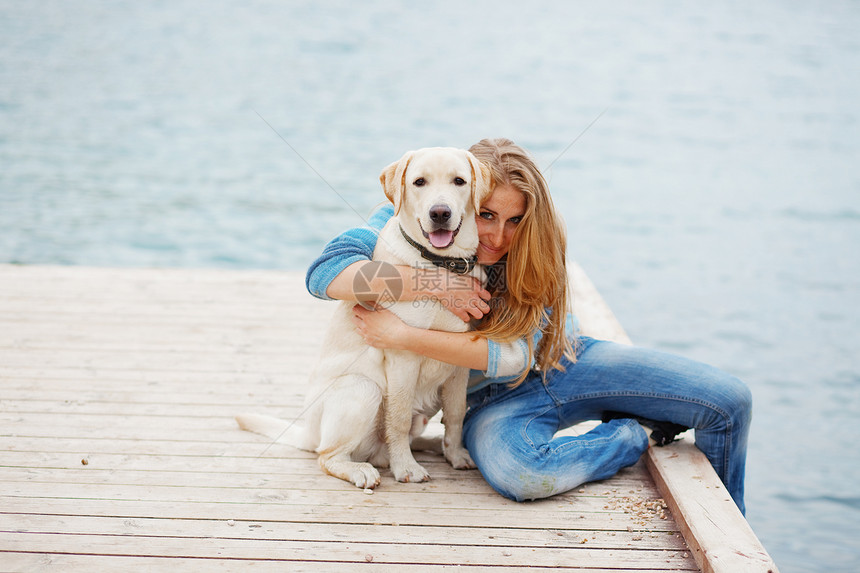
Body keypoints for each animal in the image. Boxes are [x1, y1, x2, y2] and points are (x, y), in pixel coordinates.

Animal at [235, 146, 490, 488]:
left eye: (459, 181)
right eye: (419, 182)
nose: (440, 213)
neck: (441, 264)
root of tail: (308, 432)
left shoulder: (459, 359)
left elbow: (456, 414)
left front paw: (456, 454)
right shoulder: (402, 354)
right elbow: (398, 418)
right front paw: (405, 468)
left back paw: (431, 446)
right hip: (362, 389)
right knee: (328, 455)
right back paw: (363, 469)